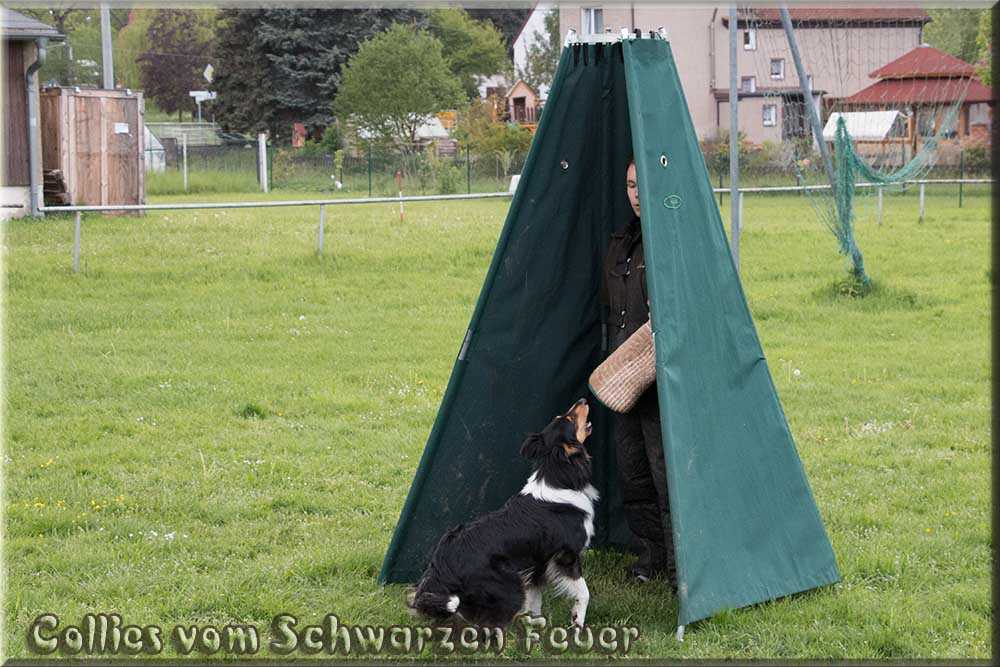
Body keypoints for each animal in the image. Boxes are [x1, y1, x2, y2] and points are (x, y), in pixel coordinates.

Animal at [408, 398, 597, 628]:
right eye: (569, 418)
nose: (583, 399)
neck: (558, 475)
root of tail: (441, 569)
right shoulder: (566, 555)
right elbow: (583, 592)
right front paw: (577, 622)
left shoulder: (538, 562)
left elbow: (535, 597)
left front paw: (535, 621)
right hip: (509, 581)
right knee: (489, 624)